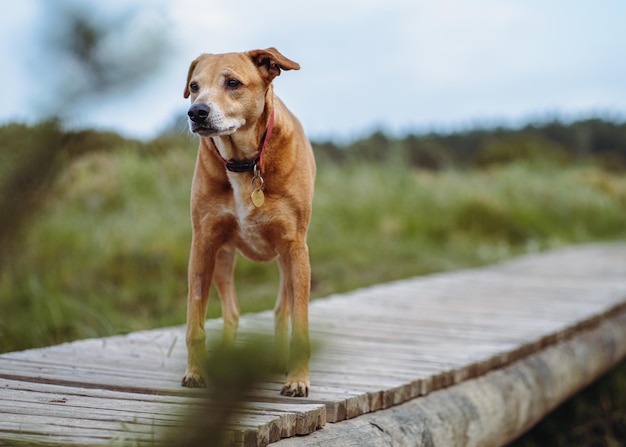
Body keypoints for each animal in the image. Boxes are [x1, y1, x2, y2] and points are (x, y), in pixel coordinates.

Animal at [180, 48, 316, 400]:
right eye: (194, 86)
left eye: (233, 83)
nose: (196, 112)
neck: (243, 163)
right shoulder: (203, 244)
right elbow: (195, 322)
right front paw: (196, 373)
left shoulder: (295, 246)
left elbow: (299, 323)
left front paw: (298, 379)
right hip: (222, 260)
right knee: (232, 311)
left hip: (287, 262)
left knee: (282, 310)